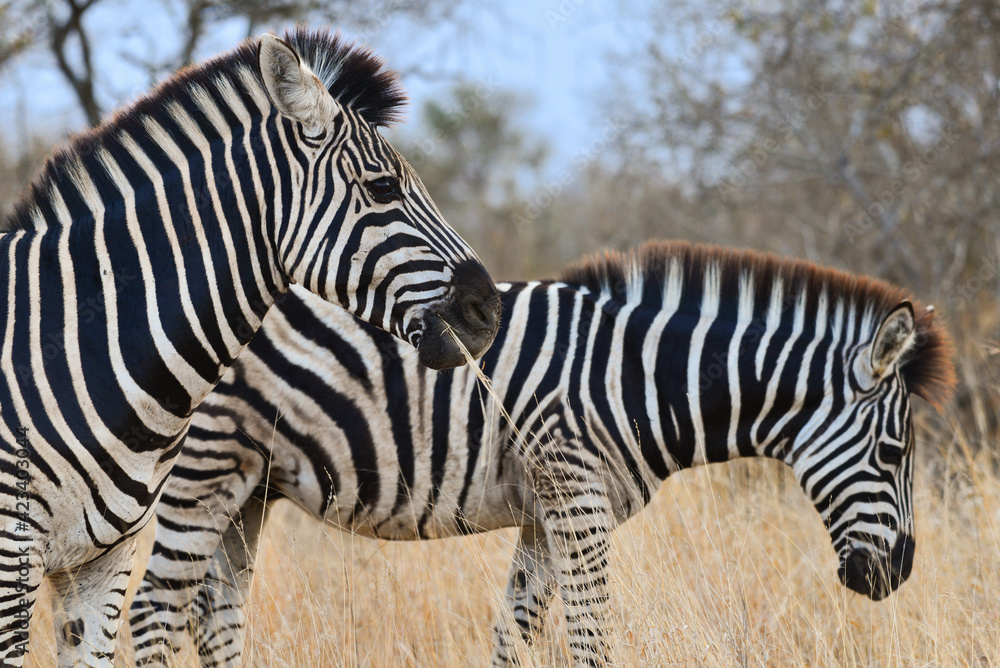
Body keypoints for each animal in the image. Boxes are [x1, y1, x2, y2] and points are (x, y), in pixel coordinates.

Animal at [131, 241, 956, 667]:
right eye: (893, 452)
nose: (896, 576)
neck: (636, 378)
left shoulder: (544, 514)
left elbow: (515, 637)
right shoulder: (575, 496)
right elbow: (591, 640)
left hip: (250, 487)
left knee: (214, 612)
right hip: (205, 465)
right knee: (153, 606)